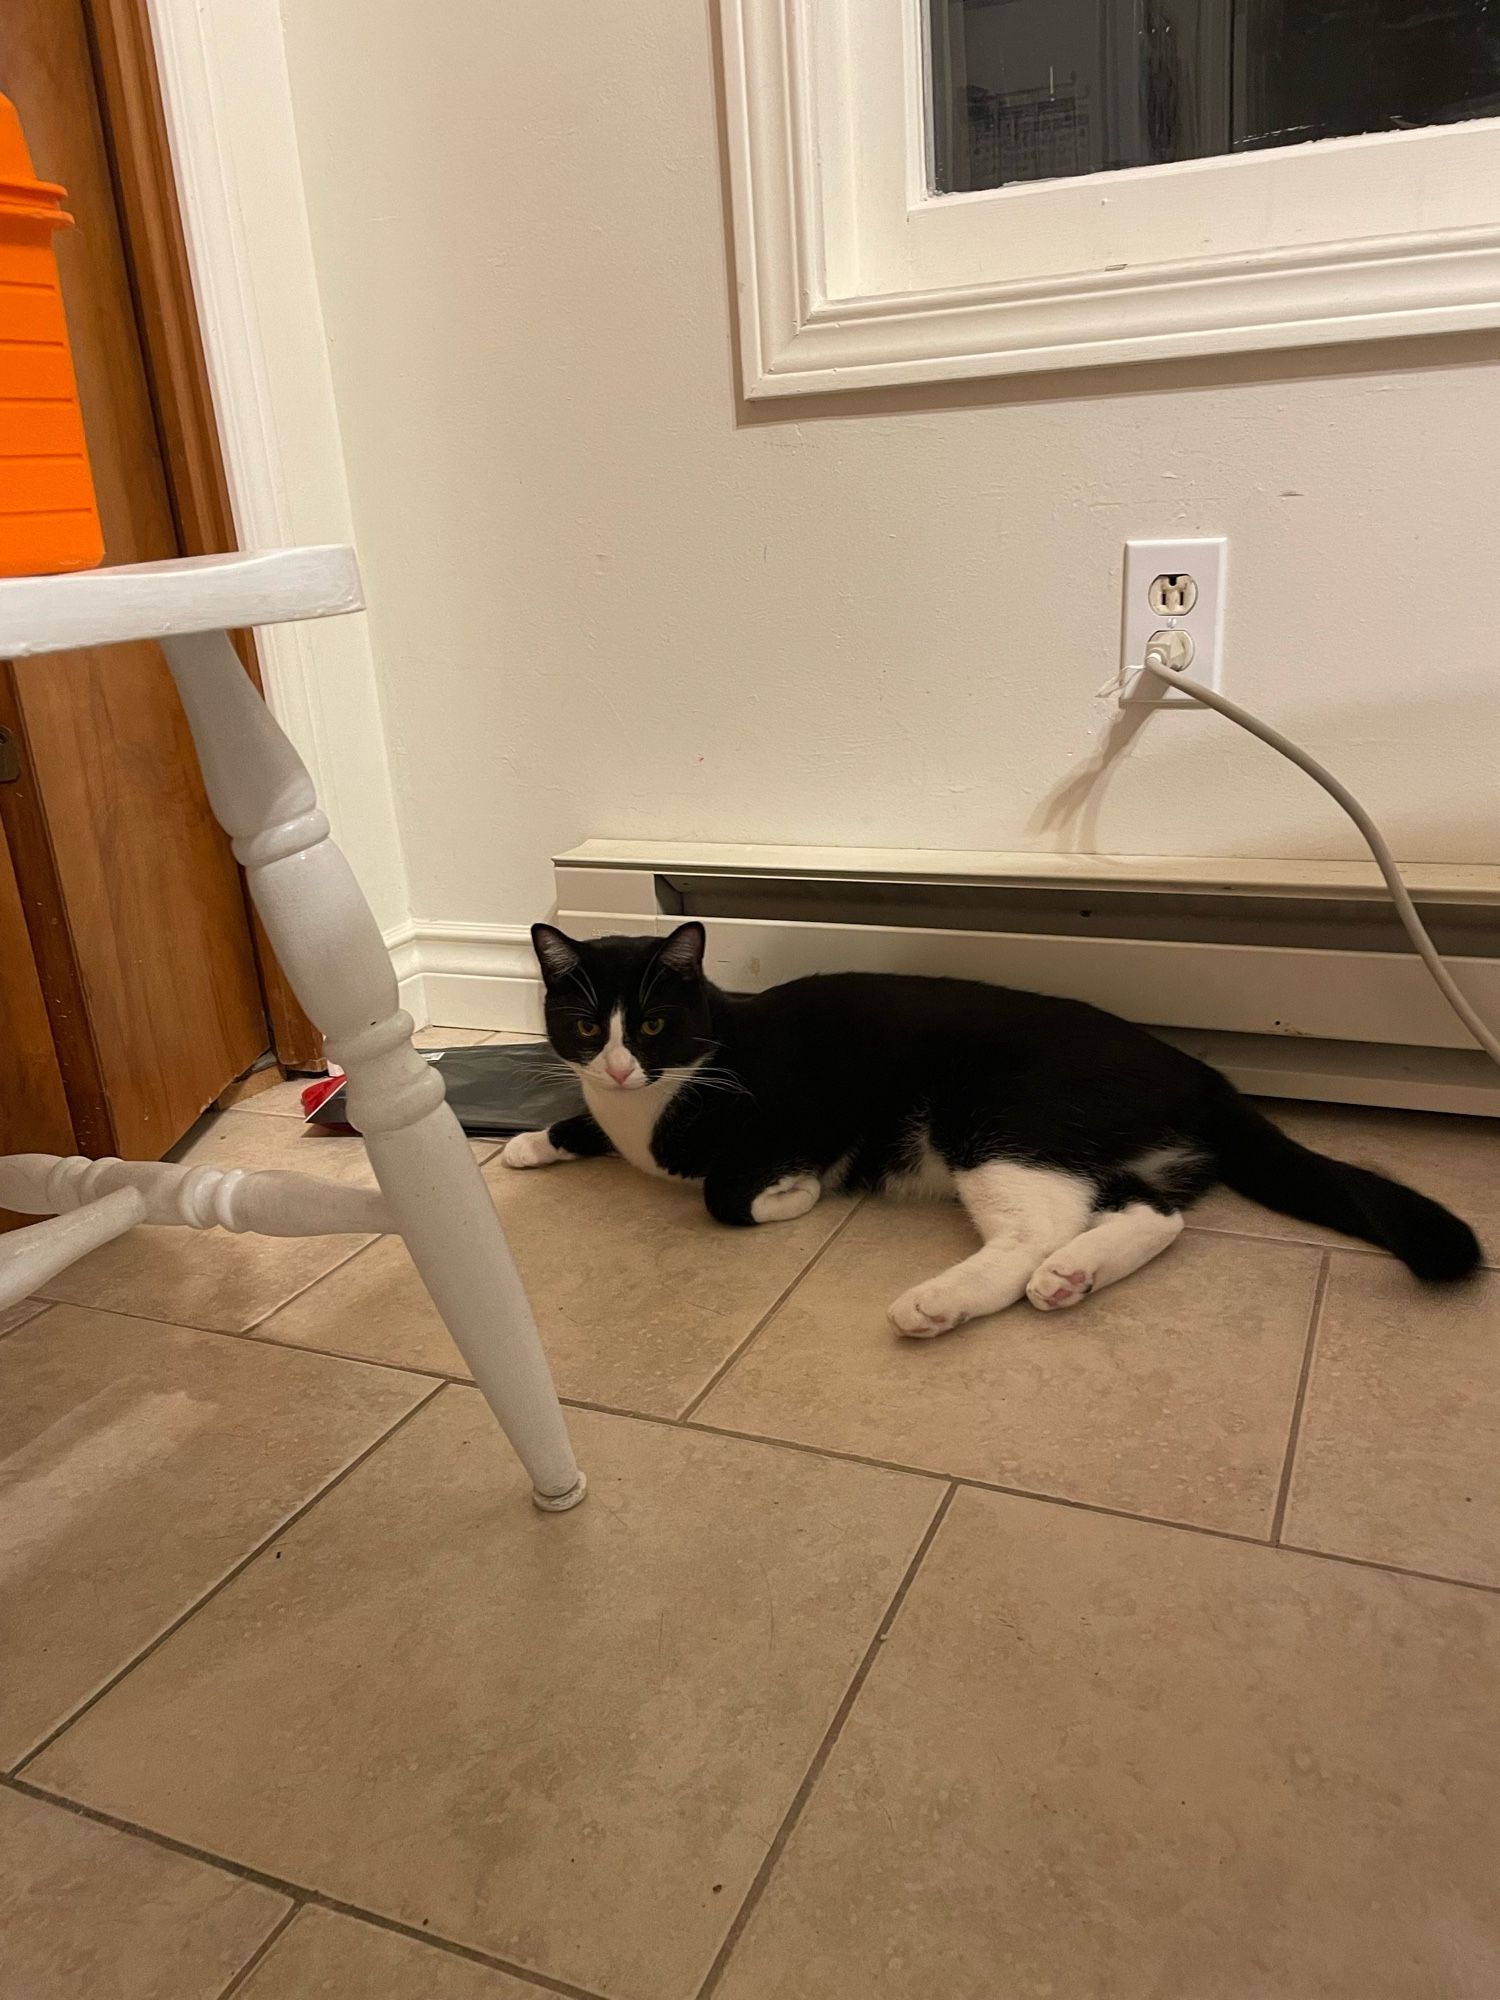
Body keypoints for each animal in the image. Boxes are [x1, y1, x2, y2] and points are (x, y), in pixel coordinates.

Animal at [502, 916, 1480, 1328]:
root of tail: (1200, 1072)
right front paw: (529, 1142)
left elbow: (722, 1193)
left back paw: (942, 1300)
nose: (619, 1062)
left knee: (1034, 1228)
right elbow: (583, 1119)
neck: (654, 1102)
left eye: (654, 1024)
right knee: (1156, 1215)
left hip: (1000, 1117)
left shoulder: (793, 1111)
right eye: (585, 1026)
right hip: (1091, 1145)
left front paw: (790, 1195)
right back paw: (1075, 1277)